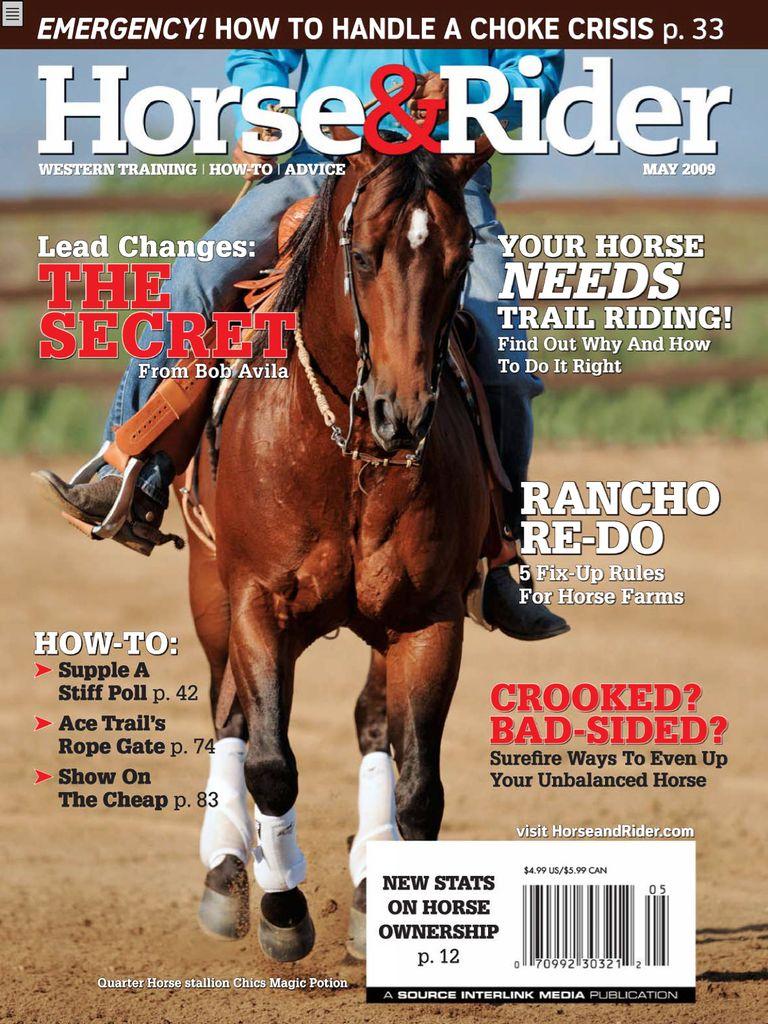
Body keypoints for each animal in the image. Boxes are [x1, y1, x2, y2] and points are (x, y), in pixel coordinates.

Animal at [183, 134, 496, 962]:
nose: (402, 412)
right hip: (211, 597)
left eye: (461, 256)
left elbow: (419, 789)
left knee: (371, 725)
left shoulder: (428, 620)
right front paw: (282, 909)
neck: (347, 456)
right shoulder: (257, 604)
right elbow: (270, 764)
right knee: (231, 717)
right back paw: (227, 874)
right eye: (360, 255)